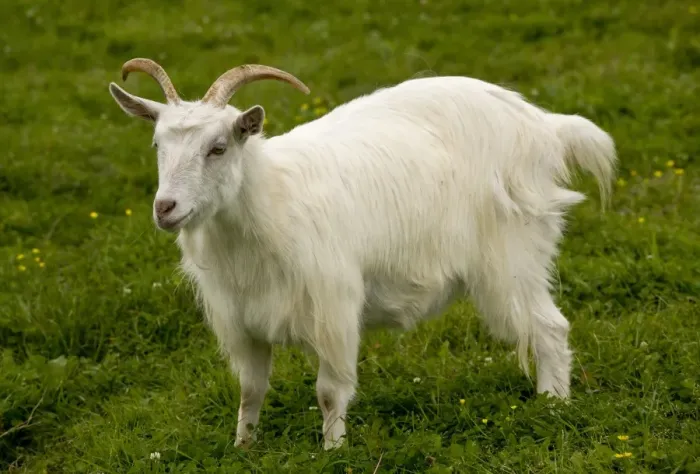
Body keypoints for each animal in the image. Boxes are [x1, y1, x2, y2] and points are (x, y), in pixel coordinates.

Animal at [108, 58, 617, 450]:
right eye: (157, 145)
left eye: (217, 148)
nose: (165, 208)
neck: (270, 201)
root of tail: (545, 127)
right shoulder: (241, 320)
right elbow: (250, 391)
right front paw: (242, 448)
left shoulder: (332, 309)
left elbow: (330, 392)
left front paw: (333, 452)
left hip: (512, 258)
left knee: (549, 329)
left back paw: (552, 408)